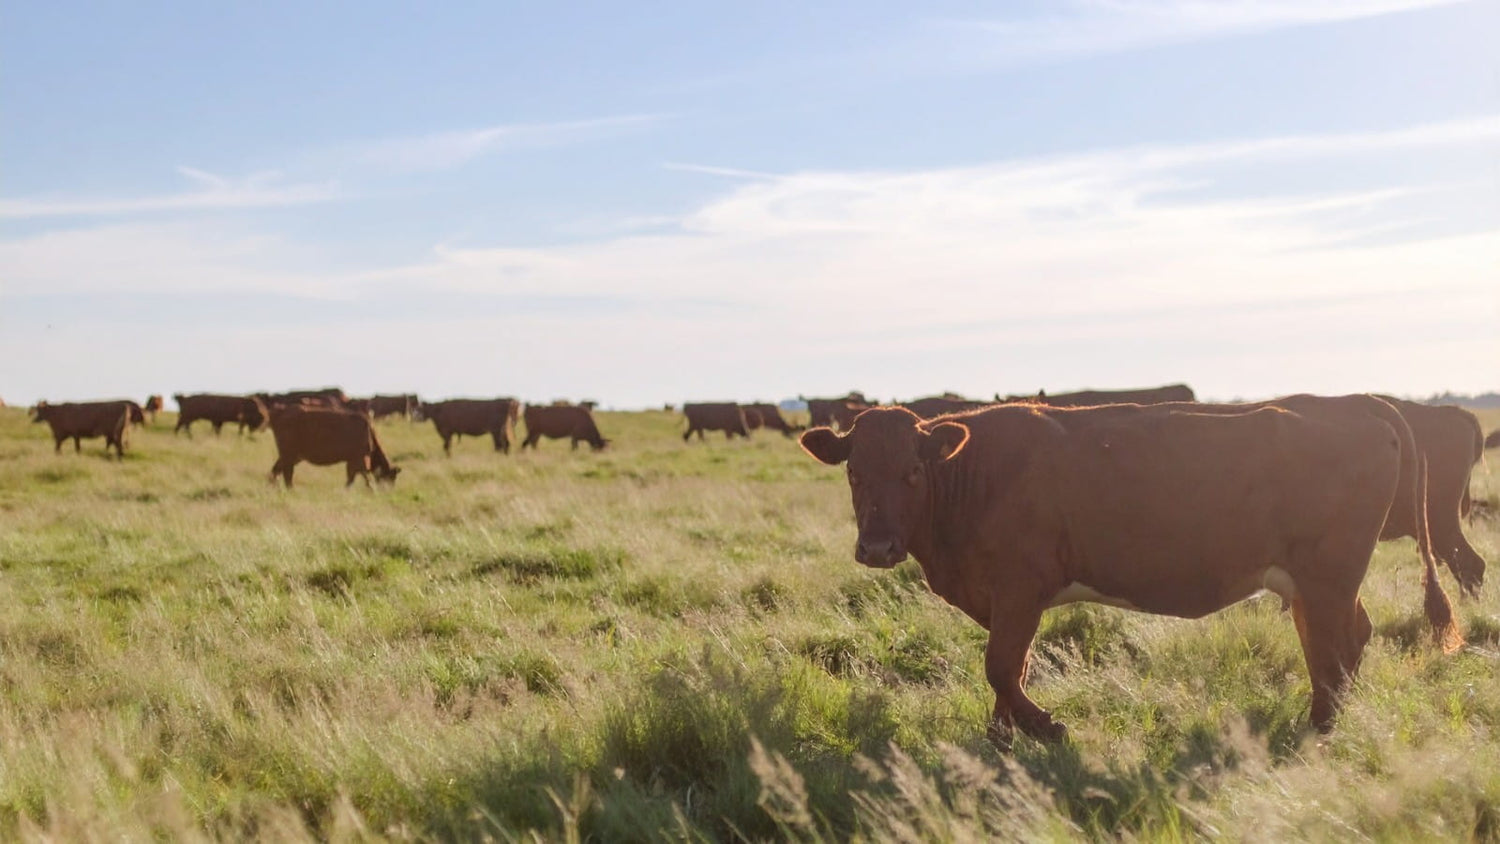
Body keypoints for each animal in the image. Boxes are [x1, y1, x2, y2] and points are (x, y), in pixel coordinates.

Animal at [267, 406, 399, 488]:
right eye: (390, 478)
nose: (389, 492)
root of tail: (278, 412)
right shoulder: (359, 459)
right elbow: (364, 478)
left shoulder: (352, 461)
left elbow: (352, 479)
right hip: (289, 454)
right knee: (286, 474)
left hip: (291, 456)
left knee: (276, 471)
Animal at [800, 402, 1458, 745]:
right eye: (854, 471)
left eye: (913, 470)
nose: (878, 547)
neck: (974, 475)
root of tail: (1351, 403)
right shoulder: (1011, 602)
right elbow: (1011, 670)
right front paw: (1001, 738)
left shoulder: (1019, 590)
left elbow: (1001, 668)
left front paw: (1044, 728)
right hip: (1314, 585)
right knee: (1347, 640)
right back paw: (1327, 717)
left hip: (1327, 578)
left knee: (1335, 647)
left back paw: (1321, 725)